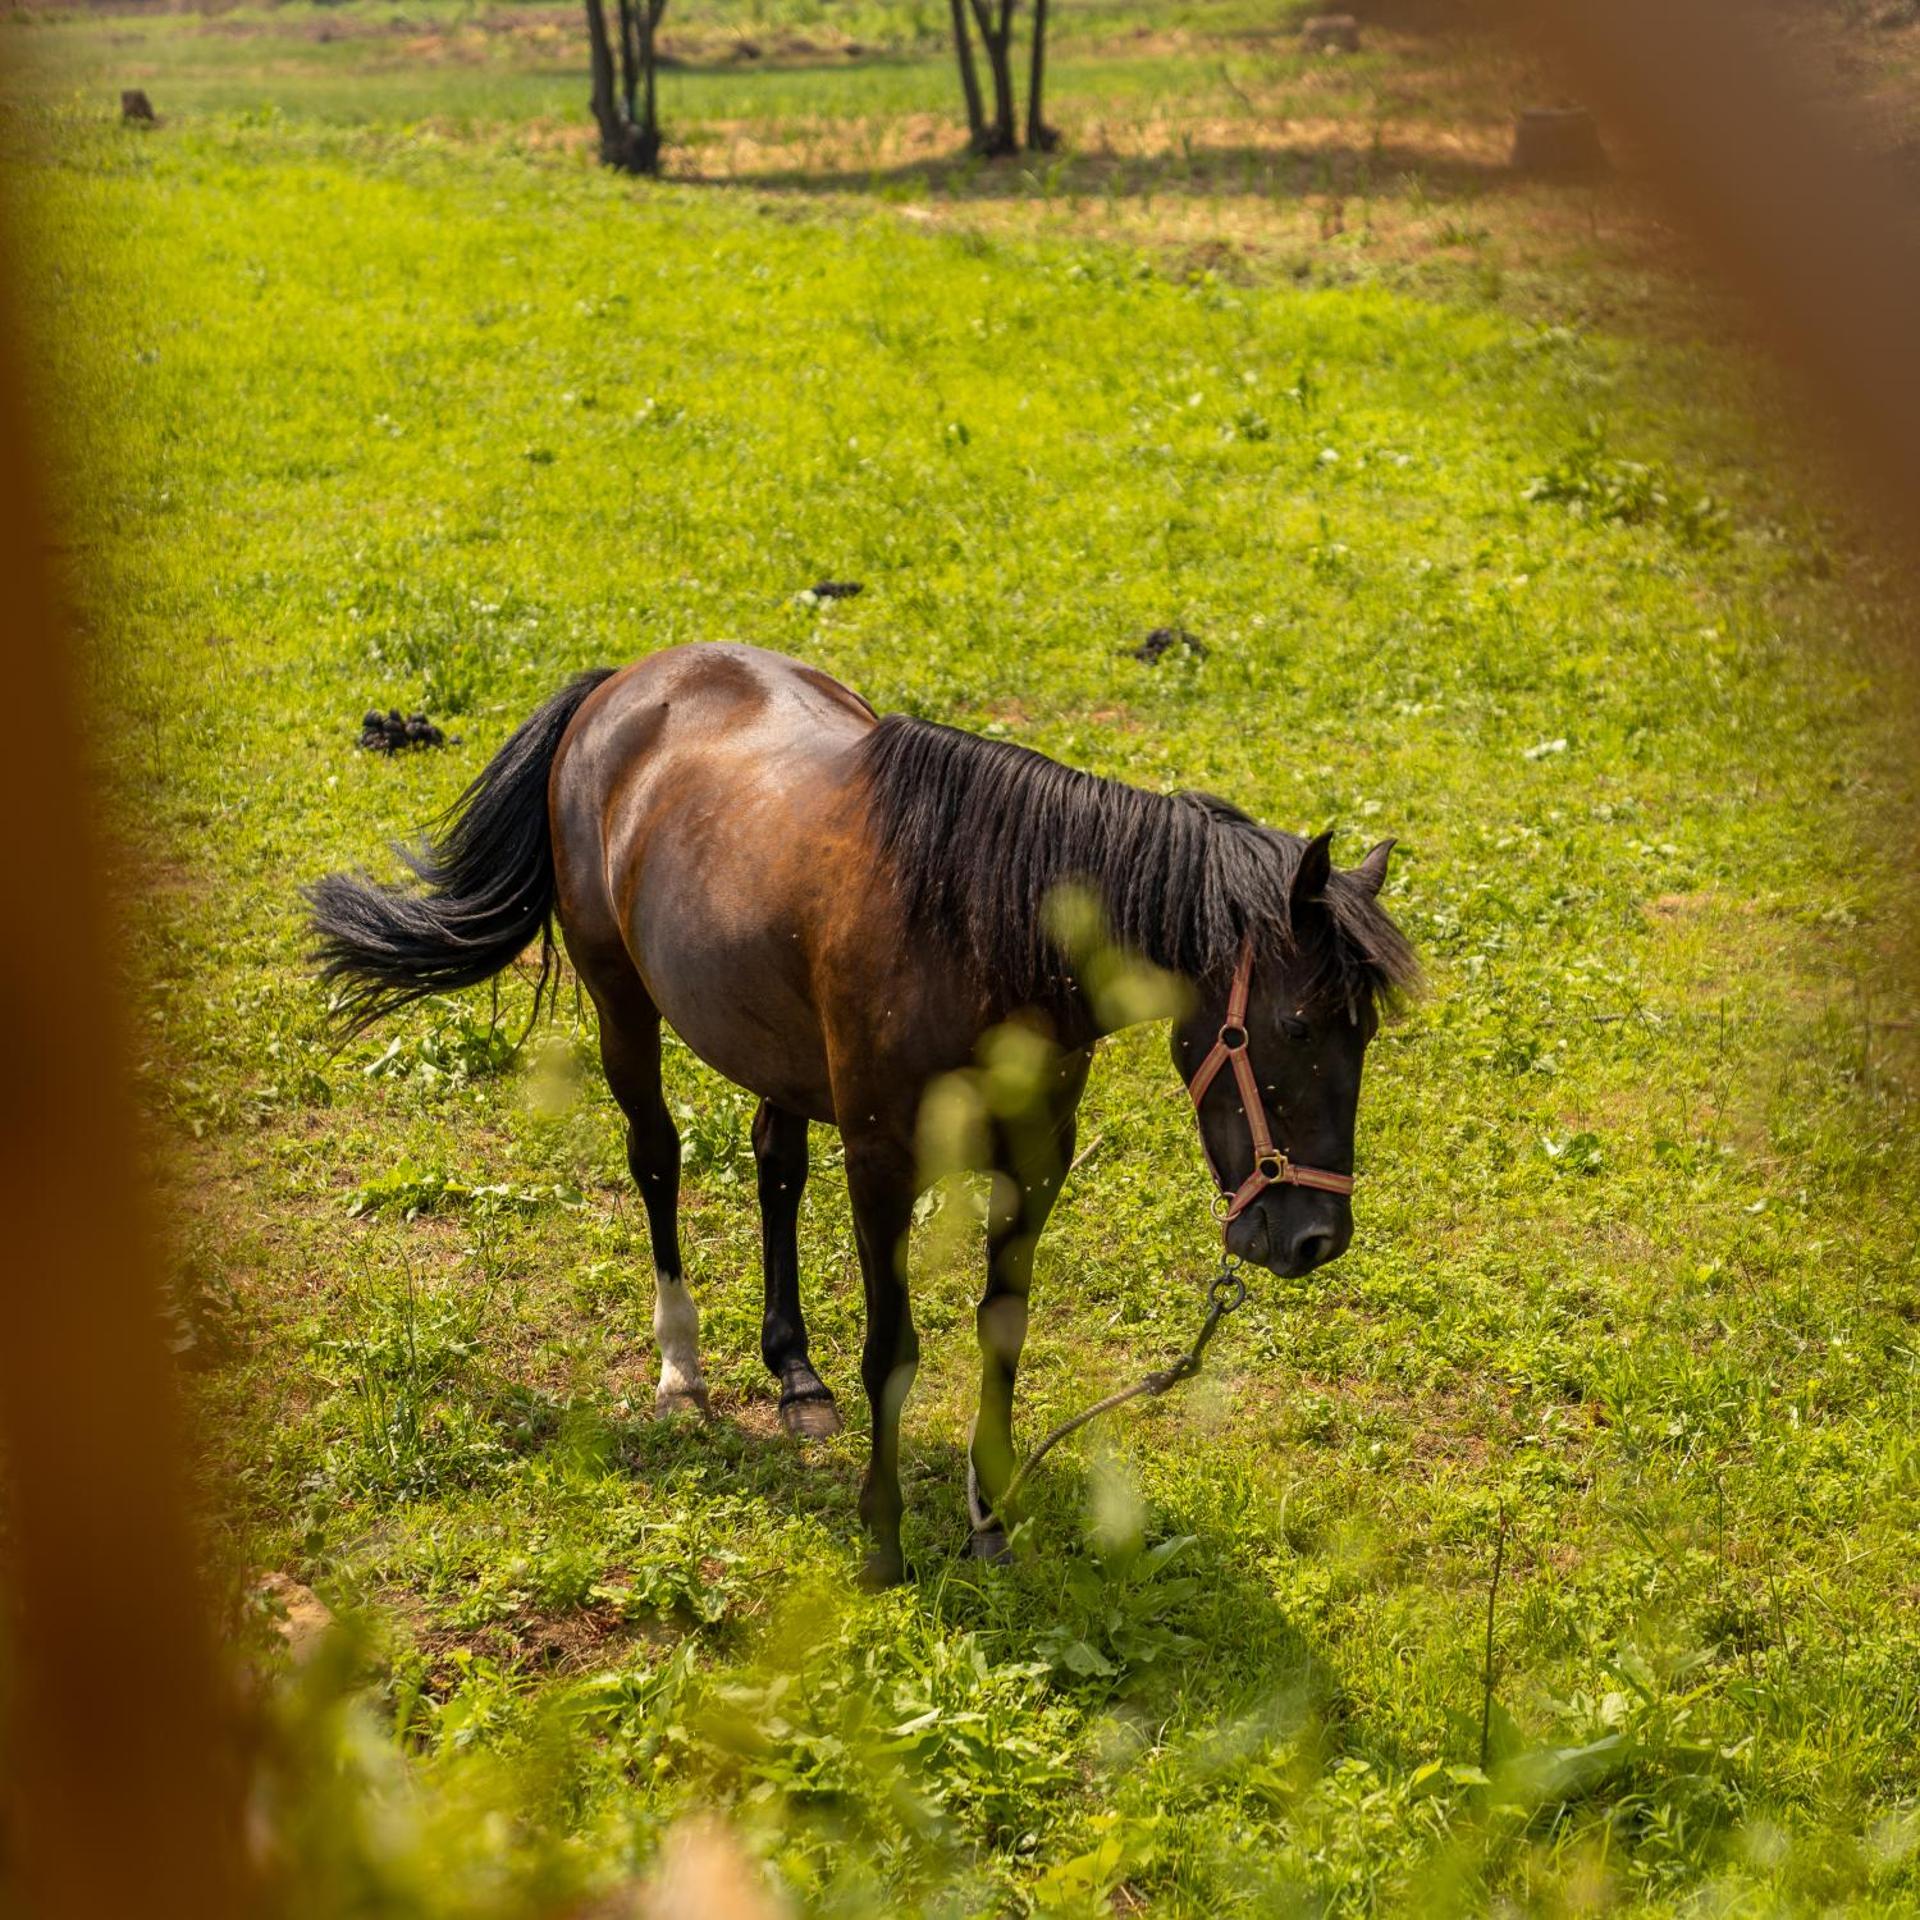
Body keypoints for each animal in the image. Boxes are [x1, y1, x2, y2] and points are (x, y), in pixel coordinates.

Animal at [307, 643, 1417, 1585]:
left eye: (1365, 1032)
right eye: (1296, 1025)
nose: (1316, 1237)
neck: (979, 931)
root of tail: (622, 683)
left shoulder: (1037, 1159)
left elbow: (1001, 1332)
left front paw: (989, 1519)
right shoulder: (883, 1163)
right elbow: (894, 1353)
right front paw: (882, 1541)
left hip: (775, 1046)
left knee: (774, 1166)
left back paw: (794, 1372)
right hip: (621, 999)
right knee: (656, 1158)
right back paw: (682, 1369)